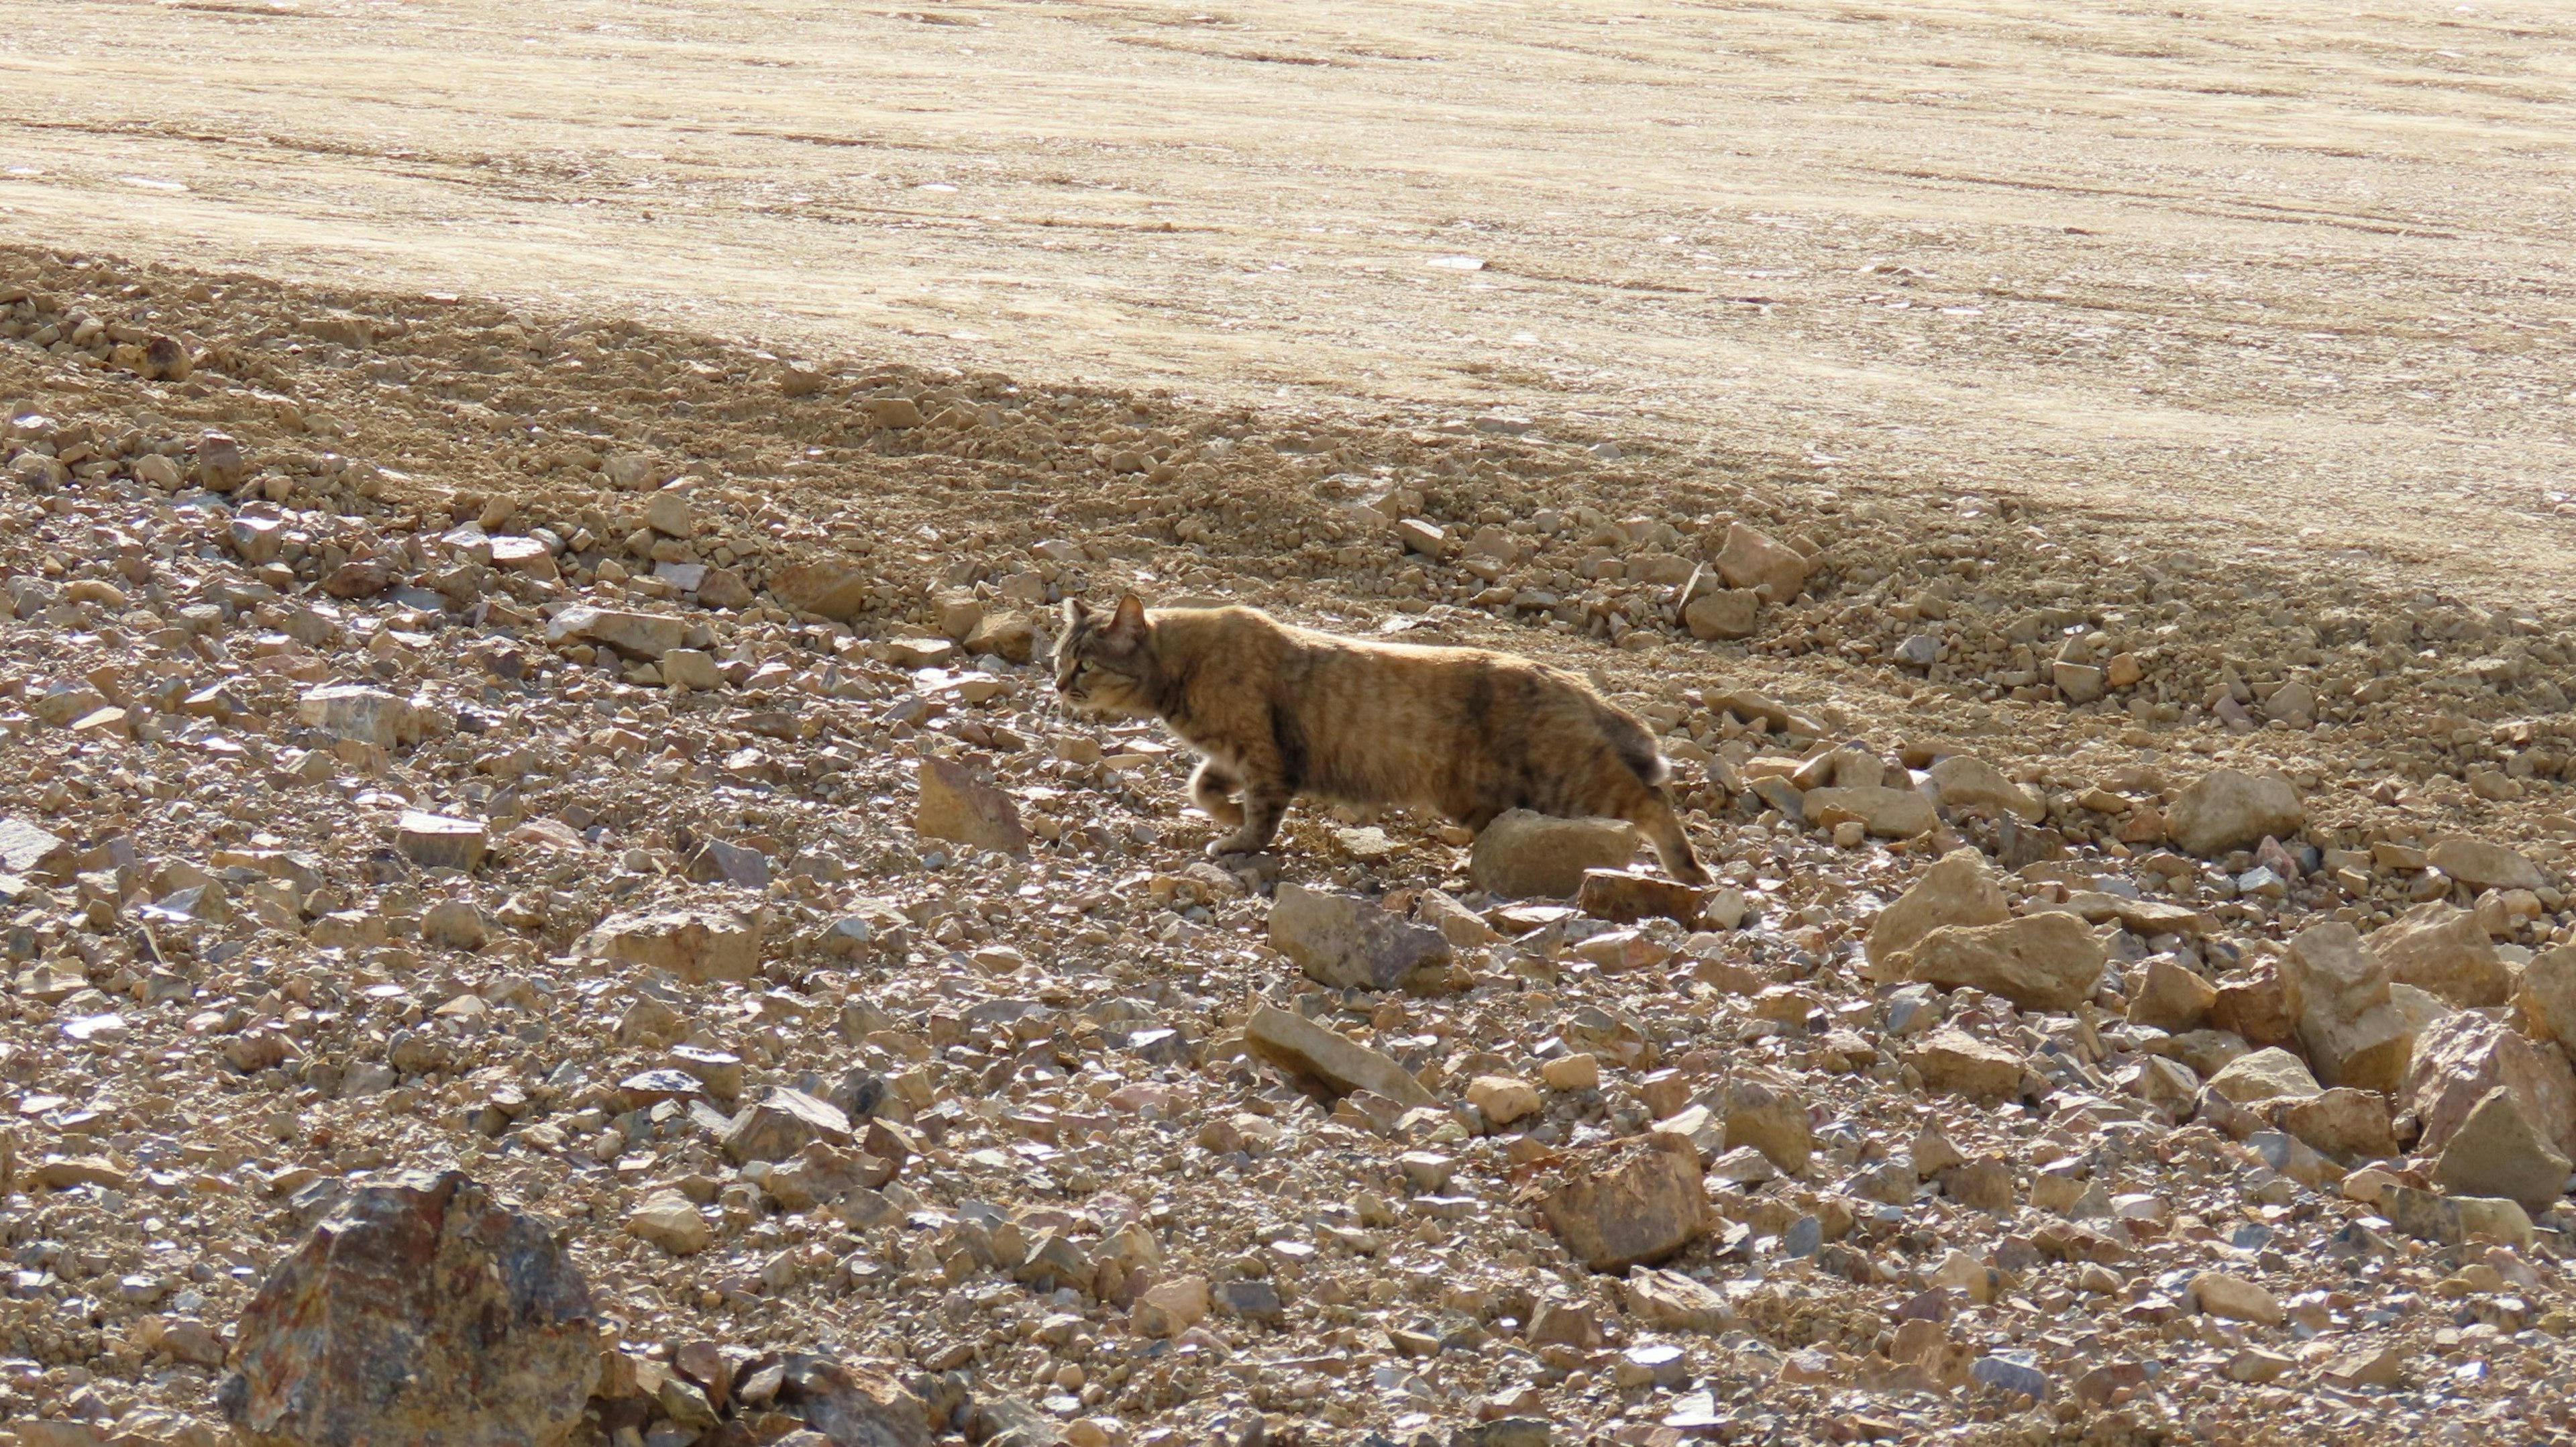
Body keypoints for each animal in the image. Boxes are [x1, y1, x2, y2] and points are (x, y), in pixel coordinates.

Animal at [1051, 592, 1710, 886]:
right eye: (1059, 655)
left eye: (1085, 664)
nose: (1056, 684)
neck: (1180, 673)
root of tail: (1572, 678)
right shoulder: (1229, 756)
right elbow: (1201, 786)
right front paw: (1225, 816)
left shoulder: (1266, 757)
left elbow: (1259, 813)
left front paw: (1238, 838)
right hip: (1491, 795)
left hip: (1569, 779)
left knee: (1652, 802)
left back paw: (1689, 871)